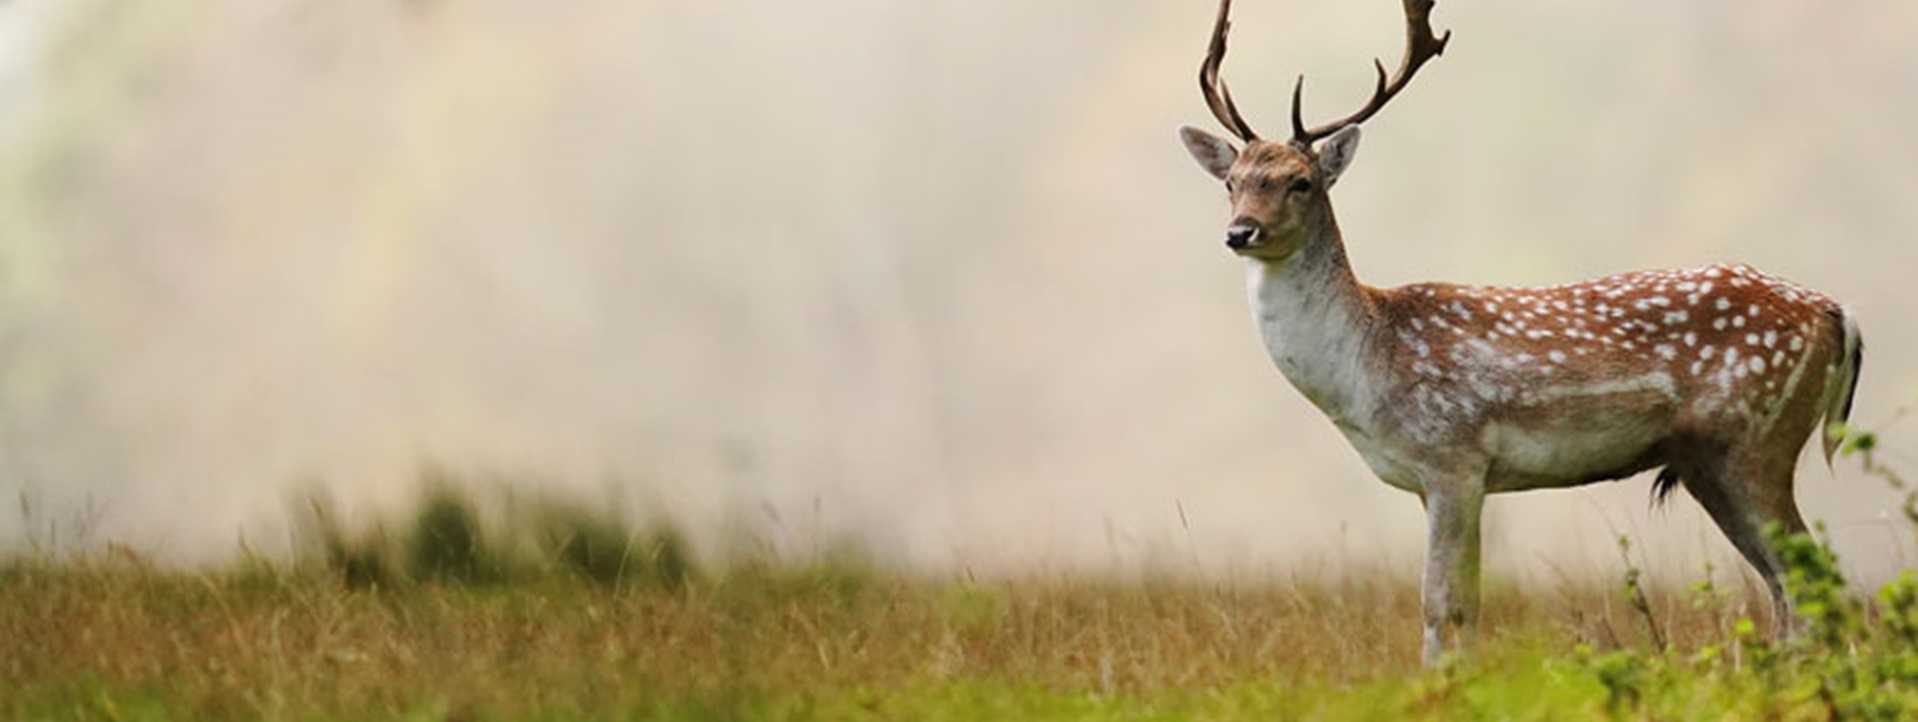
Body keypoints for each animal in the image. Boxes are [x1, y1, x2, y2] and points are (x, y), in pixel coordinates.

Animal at [1177, 0, 1864, 665]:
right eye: (1232, 182)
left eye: (1300, 181)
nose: (1240, 232)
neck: (1366, 369)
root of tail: (1837, 315)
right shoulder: (1441, 482)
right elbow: (1467, 605)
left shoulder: (1453, 457)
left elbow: (1441, 605)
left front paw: (1445, 685)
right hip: (1708, 461)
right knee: (1783, 588)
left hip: (1758, 437)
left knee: (1812, 582)